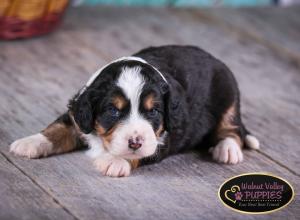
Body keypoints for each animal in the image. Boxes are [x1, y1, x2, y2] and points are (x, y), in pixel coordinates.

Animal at [9, 45, 258, 178]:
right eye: (113, 110)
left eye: (154, 111)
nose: (135, 142)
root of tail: (215, 59)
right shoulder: (78, 118)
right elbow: (57, 128)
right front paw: (30, 142)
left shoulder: (159, 141)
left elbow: (139, 154)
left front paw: (115, 161)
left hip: (229, 97)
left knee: (233, 129)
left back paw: (227, 150)